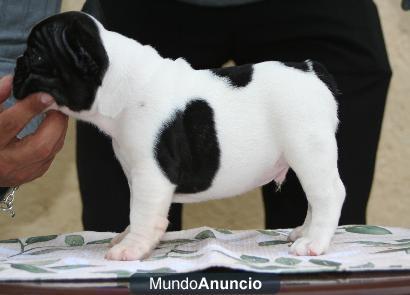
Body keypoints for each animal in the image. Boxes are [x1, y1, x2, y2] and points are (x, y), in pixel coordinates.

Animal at [12, 11, 346, 262]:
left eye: (37, 56)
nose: (17, 62)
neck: (121, 84)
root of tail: (311, 70)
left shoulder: (150, 174)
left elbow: (142, 211)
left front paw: (131, 247)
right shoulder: (135, 172)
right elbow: (136, 211)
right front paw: (127, 236)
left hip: (308, 149)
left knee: (328, 195)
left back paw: (313, 243)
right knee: (316, 198)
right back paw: (305, 232)